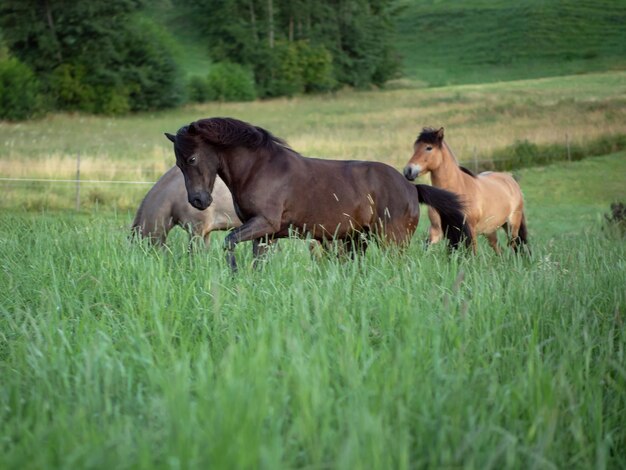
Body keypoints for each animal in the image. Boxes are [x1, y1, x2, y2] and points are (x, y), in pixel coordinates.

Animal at [165, 117, 468, 272]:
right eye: (179, 164)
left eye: (192, 159)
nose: (198, 201)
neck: (259, 168)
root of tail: (410, 187)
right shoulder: (263, 234)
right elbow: (257, 262)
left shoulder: (264, 223)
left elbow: (228, 242)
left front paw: (234, 274)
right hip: (357, 240)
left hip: (392, 241)